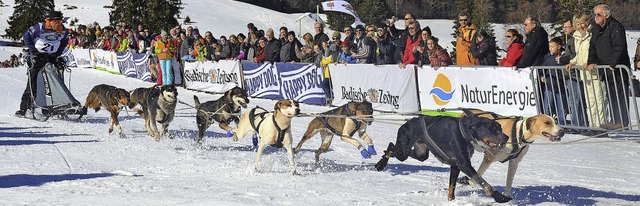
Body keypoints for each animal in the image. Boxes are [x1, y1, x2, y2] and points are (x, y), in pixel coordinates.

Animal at [376, 112, 510, 202]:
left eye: (500, 128)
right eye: (492, 129)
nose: (506, 137)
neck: (465, 133)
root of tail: (407, 122)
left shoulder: (456, 165)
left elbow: (452, 186)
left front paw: (451, 200)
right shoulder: (464, 165)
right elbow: (483, 182)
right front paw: (499, 197)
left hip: (421, 153)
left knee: (395, 148)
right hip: (402, 152)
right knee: (391, 147)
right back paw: (381, 164)